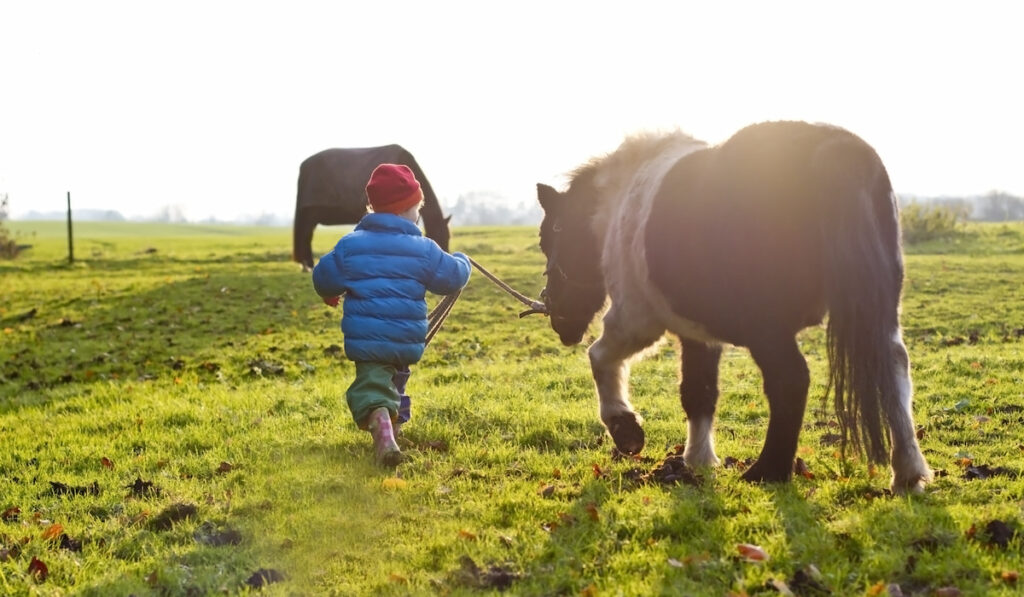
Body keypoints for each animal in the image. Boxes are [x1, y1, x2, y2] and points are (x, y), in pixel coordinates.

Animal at [290, 144, 450, 270]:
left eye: (448, 237)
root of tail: (304, 165)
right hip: (310, 213)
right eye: (439, 236)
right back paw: (308, 265)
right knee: (305, 235)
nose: (445, 255)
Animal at [540, 121, 933, 495]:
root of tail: (838, 150)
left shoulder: (636, 320)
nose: (558, 318)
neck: (619, 200)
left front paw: (626, 430)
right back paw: (908, 474)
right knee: (894, 369)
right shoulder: (697, 334)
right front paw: (698, 460)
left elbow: (599, 357)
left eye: (549, 240)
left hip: (767, 331)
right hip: (875, 312)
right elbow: (698, 392)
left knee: (791, 380)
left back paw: (767, 471)